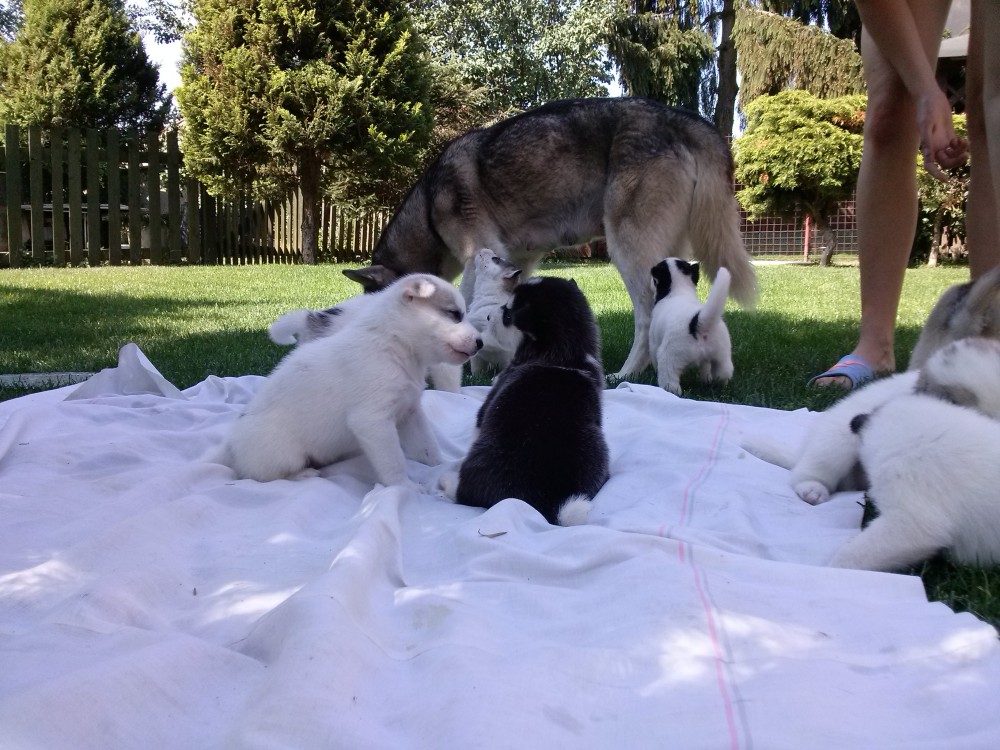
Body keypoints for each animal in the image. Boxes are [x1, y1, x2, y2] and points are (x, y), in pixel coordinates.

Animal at [342, 97, 758, 380]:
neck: (429, 205)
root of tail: (686, 119)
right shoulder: (516, 262)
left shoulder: (478, 253)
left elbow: (468, 303)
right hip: (671, 258)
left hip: (629, 250)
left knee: (645, 314)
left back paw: (627, 373)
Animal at [440, 277, 610, 526]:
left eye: (508, 316)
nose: (489, 316)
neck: (565, 355)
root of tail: (547, 503)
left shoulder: (491, 398)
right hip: (598, 449)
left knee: (466, 493)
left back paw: (447, 482)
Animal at [648, 259, 733, 395]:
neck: (679, 290)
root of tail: (698, 323)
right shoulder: (706, 360)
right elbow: (705, 368)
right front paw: (705, 380)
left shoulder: (653, 343)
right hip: (722, 356)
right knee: (722, 373)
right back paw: (717, 386)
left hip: (669, 355)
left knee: (669, 377)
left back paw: (670, 391)